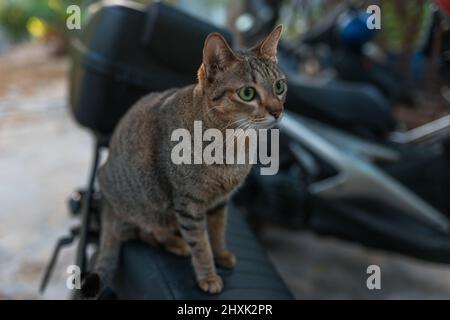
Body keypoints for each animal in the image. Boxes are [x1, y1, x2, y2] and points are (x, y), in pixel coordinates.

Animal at [81, 25, 286, 298]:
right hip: (145, 206)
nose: (278, 111)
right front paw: (208, 275)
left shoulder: (221, 202)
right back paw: (177, 243)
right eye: (247, 93)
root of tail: (106, 208)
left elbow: (218, 232)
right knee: (147, 232)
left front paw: (221, 254)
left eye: (279, 86)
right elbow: (201, 244)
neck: (234, 141)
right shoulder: (189, 203)